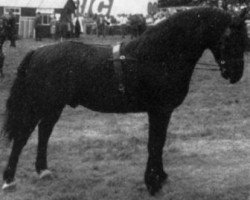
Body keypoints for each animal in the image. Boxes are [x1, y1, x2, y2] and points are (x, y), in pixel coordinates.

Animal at [1, 8, 248, 195]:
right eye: (229, 37)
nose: (236, 74)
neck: (159, 56)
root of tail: (38, 52)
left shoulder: (164, 112)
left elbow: (159, 143)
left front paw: (160, 176)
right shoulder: (159, 111)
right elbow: (154, 143)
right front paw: (153, 183)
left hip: (54, 106)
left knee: (44, 132)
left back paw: (42, 170)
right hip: (39, 104)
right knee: (23, 136)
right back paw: (9, 179)